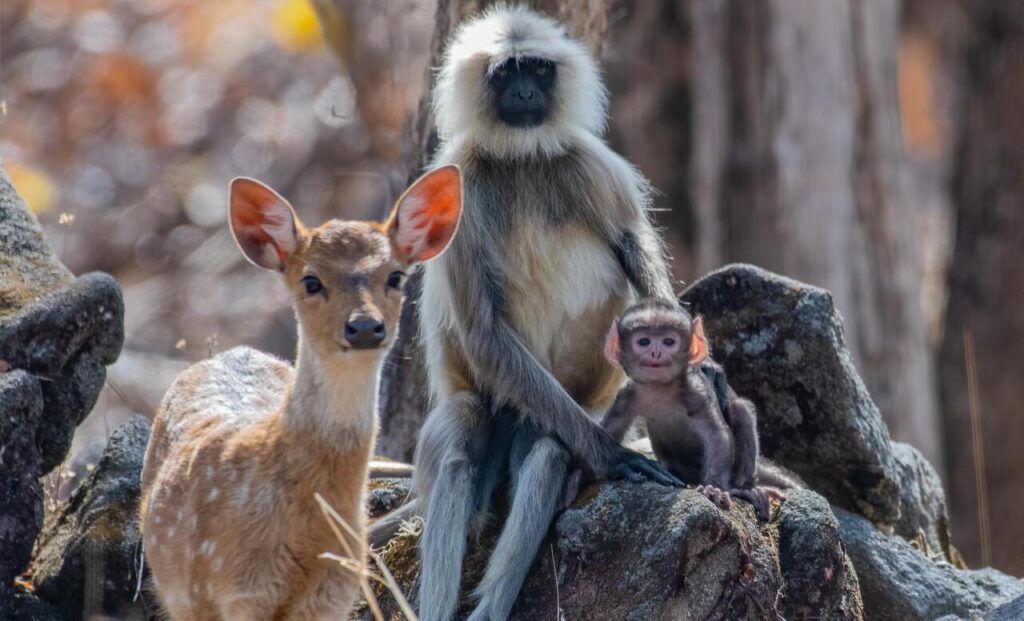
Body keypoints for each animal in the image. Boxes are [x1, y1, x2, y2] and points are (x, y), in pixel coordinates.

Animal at [368, 6, 680, 621]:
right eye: (505, 72)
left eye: (536, 68)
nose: (525, 91)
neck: (521, 156)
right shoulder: (457, 176)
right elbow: (482, 330)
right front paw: (613, 454)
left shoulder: (588, 159)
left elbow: (631, 244)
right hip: (497, 400)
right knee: (462, 447)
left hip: (569, 405)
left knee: (548, 450)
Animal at [600, 298, 800, 521]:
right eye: (644, 342)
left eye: (668, 342)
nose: (656, 353)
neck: (660, 389)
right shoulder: (625, 396)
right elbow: (608, 433)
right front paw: (620, 464)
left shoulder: (696, 393)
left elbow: (717, 435)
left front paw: (713, 489)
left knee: (738, 408)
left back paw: (746, 488)